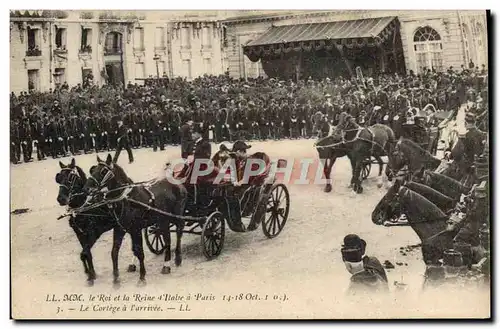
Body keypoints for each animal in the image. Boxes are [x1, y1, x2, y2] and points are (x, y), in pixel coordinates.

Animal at [84, 154, 188, 284]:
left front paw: (142, 277)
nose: (87, 189)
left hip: (176, 216)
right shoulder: (120, 229)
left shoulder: (136, 230)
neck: (127, 199)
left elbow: (140, 253)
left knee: (179, 231)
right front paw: (116, 279)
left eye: (103, 171)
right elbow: (115, 252)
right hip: (162, 220)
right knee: (167, 238)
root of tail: (175, 181)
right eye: (92, 170)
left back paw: (176, 259)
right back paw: (166, 264)